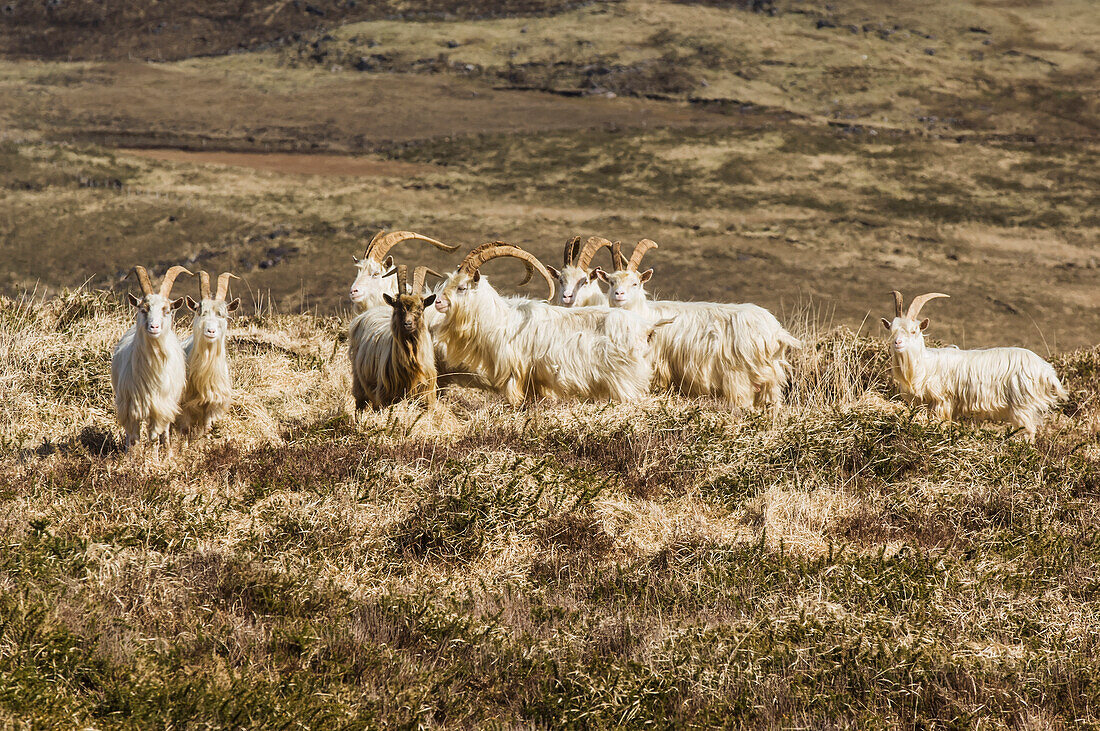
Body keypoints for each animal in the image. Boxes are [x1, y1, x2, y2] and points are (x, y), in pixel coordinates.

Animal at [110, 262, 192, 457]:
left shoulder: (159, 407)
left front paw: (153, 460)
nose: (154, 327)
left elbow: (154, 437)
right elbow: (133, 438)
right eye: (143, 309)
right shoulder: (130, 406)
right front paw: (131, 459)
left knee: (165, 432)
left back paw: (167, 452)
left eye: (167, 310)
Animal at [176, 269, 240, 435]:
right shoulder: (184, 406)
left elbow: (208, 427)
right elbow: (184, 429)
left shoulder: (215, 404)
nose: (210, 331)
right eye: (201, 312)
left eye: (222, 314)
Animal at [429, 244, 668, 404]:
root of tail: (647, 327)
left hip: (625, 382)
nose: (438, 302)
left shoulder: (514, 375)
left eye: (462, 287)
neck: (501, 319)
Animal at [598, 239, 805, 411]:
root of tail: (774, 330)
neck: (645, 314)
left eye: (635, 283)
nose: (619, 294)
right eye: (611, 282)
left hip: (740, 378)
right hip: (770, 380)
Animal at [875, 290, 1064, 439]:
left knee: (1028, 432)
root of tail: (1047, 371)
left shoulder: (942, 402)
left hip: (1022, 406)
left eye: (914, 331)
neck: (924, 366)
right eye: (891, 330)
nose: (897, 343)